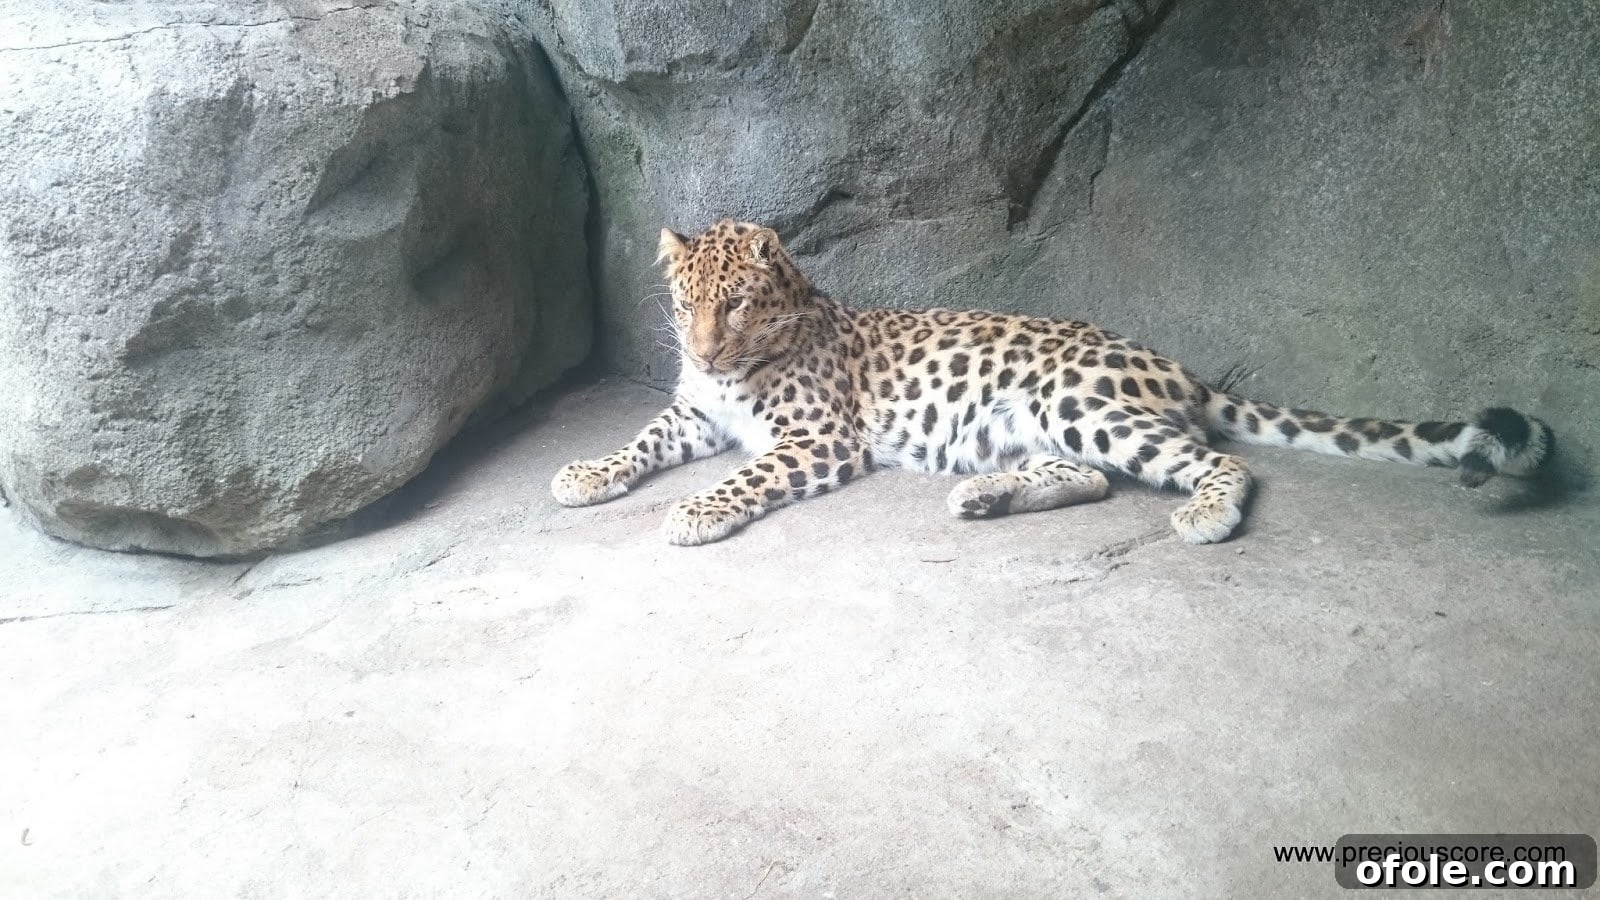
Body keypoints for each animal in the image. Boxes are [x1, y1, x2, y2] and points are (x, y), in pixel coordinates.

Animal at [551, 219, 1555, 546]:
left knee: (1213, 461)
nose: (708, 352)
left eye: (739, 305)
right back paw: (985, 496)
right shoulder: (695, 414)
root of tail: (1178, 367)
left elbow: (748, 472)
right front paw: (585, 473)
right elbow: (642, 438)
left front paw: (696, 510)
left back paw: (1207, 516)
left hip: (1071, 397)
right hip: (1038, 422)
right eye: (685, 305)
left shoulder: (816, 436)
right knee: (1094, 477)